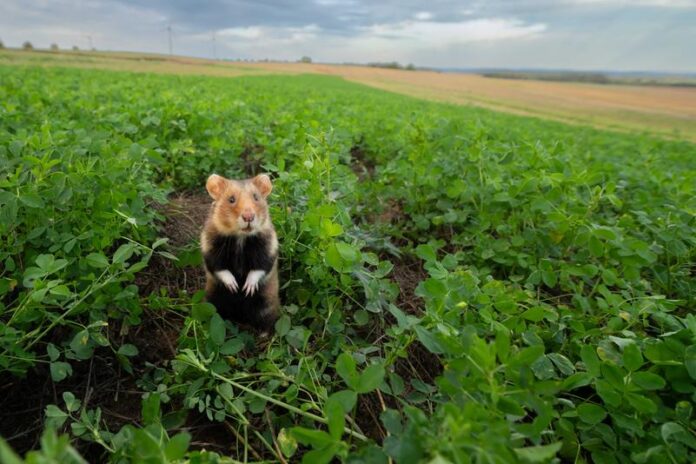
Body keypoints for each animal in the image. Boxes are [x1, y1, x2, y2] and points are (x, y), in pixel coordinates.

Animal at [200, 172, 278, 336]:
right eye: (231, 199)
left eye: (256, 197)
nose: (248, 216)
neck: (241, 236)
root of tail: (240, 317)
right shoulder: (209, 249)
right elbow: (220, 269)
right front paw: (235, 287)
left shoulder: (269, 248)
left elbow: (259, 268)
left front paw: (247, 289)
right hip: (213, 300)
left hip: (266, 305)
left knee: (266, 321)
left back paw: (263, 334)